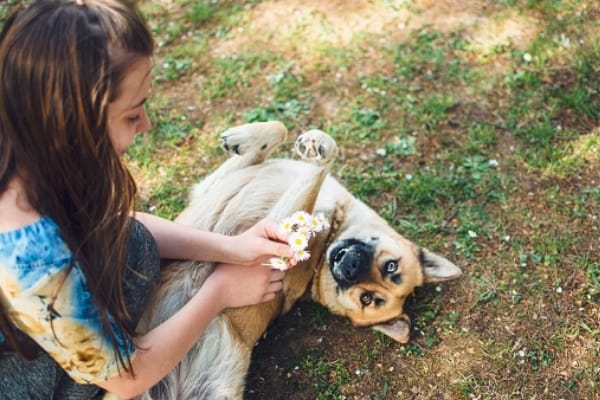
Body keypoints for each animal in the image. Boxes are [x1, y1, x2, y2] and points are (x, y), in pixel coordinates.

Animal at [137, 122, 464, 400]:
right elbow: (278, 131)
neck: (327, 241)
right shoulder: (211, 185)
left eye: (367, 299)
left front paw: (320, 151)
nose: (349, 268)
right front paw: (245, 138)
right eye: (391, 267)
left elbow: (320, 165)